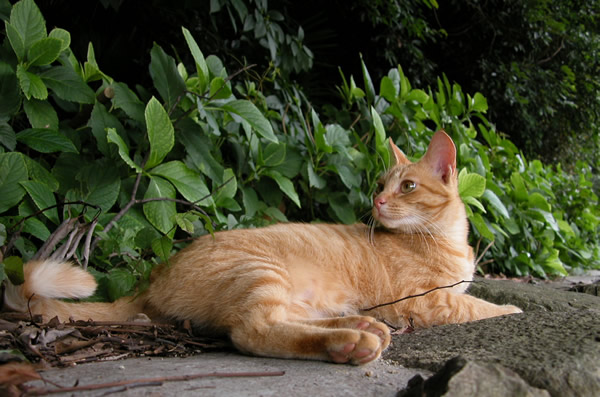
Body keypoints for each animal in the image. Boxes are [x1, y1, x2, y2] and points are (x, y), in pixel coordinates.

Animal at [3, 131, 520, 366]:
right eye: (380, 184)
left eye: (407, 186)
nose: (377, 201)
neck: (445, 239)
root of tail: (153, 279)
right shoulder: (430, 301)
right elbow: (479, 305)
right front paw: (512, 309)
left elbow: (475, 297)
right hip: (262, 272)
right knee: (253, 331)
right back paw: (349, 342)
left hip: (294, 292)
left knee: (285, 319)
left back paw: (361, 325)